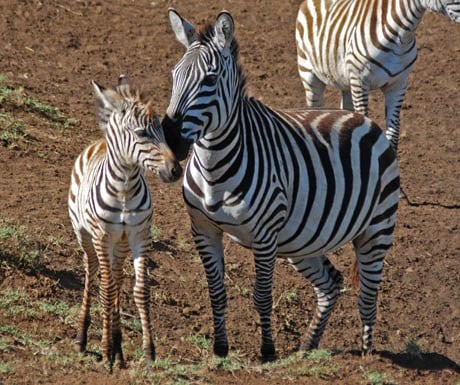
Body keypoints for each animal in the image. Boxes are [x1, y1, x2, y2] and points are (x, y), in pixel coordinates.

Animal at [68, 76, 181, 366]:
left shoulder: (140, 235)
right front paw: (105, 349)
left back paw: (119, 349)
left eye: (163, 130)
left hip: (119, 243)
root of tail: (99, 142)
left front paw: (148, 351)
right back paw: (83, 338)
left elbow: (140, 290)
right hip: (86, 236)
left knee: (117, 278)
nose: (176, 170)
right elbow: (106, 290)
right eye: (141, 133)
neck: (125, 189)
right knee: (92, 274)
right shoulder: (101, 235)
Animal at [163, 9, 398, 364]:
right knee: (331, 283)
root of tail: (360, 118)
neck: (214, 168)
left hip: (376, 230)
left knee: (368, 295)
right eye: (174, 76)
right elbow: (216, 292)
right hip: (299, 242)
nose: (172, 141)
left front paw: (267, 353)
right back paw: (307, 348)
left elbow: (262, 296)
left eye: (210, 80)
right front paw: (220, 351)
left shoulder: (263, 236)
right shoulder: (203, 229)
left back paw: (366, 355)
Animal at [294, 0, 460, 148]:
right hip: (309, 74)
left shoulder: (398, 85)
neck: (401, 37)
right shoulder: (360, 81)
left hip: (346, 80)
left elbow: (393, 132)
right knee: (313, 108)